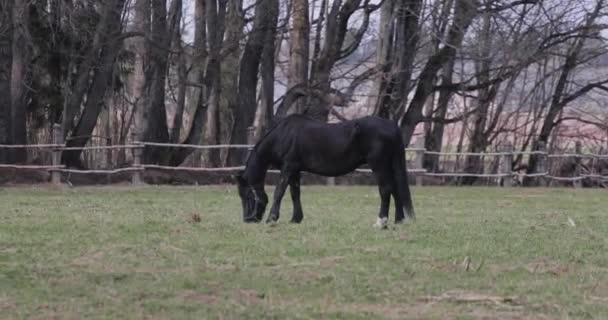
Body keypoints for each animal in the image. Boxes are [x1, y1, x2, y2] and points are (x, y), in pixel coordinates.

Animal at [235, 114, 416, 228]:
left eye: (247, 195)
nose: (248, 219)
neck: (284, 135)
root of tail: (392, 126)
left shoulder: (288, 168)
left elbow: (279, 192)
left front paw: (272, 219)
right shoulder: (295, 171)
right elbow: (295, 194)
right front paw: (295, 219)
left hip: (379, 165)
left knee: (385, 190)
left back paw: (380, 222)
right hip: (389, 165)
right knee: (395, 190)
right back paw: (398, 220)